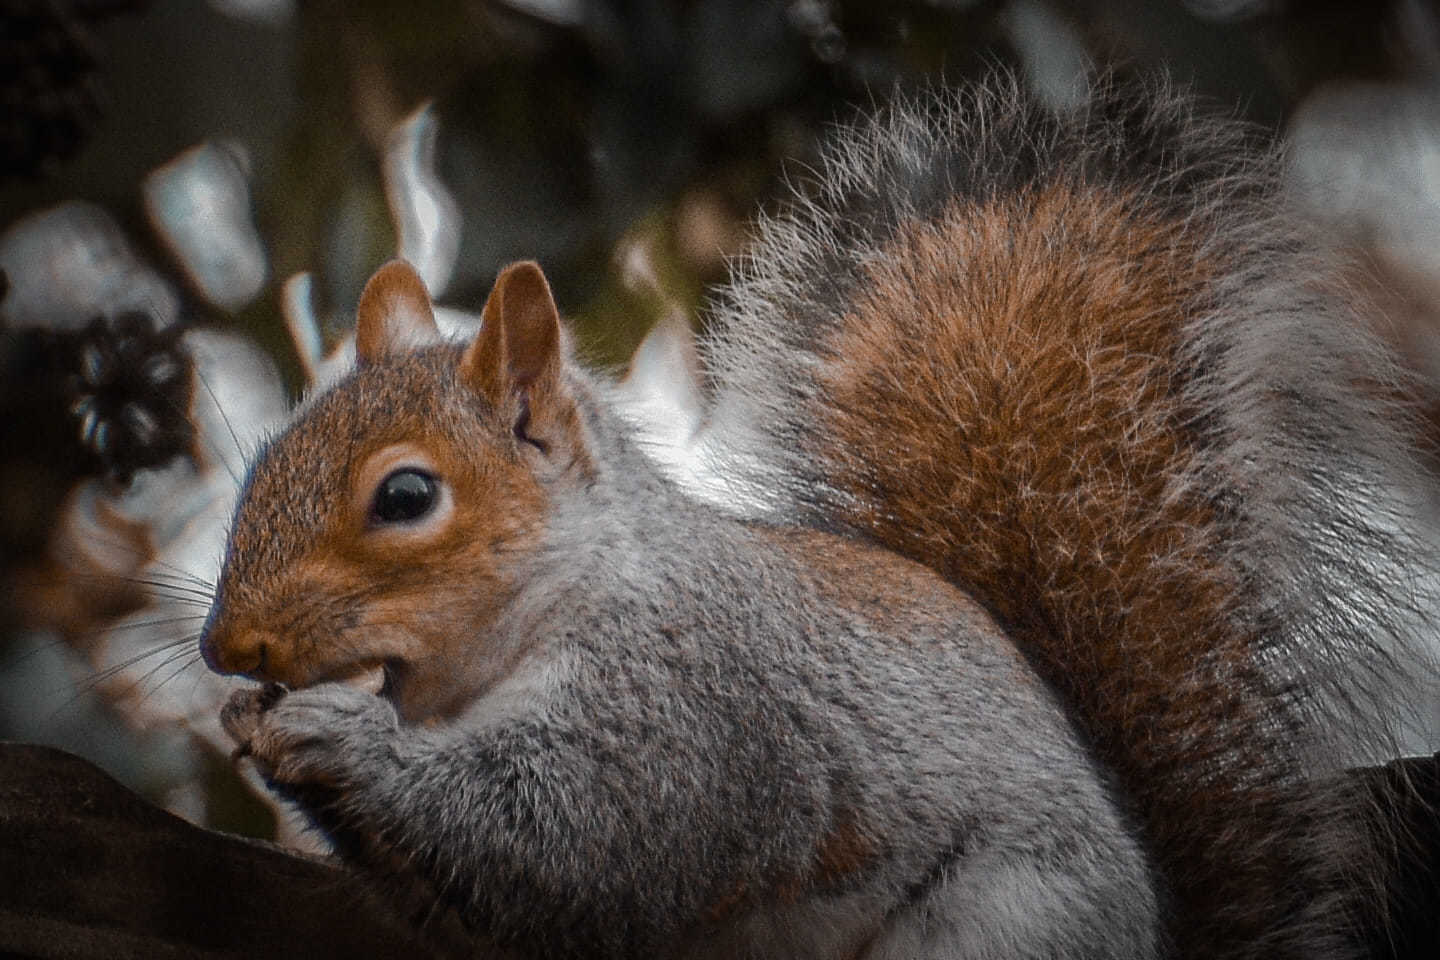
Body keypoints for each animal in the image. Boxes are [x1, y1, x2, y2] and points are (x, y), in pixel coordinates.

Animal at [203, 77, 1440, 960]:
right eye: (262, 460)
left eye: (406, 497)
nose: (226, 646)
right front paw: (250, 723)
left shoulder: (696, 707)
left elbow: (567, 837)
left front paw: (335, 737)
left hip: (1007, 930)